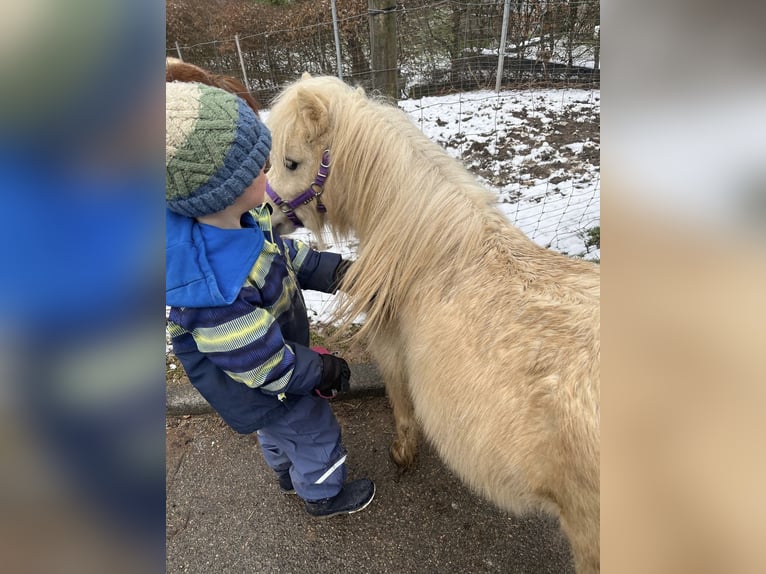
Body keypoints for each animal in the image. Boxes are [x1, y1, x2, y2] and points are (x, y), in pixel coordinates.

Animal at [268, 75, 604, 574]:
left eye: (291, 161)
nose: (264, 215)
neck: (430, 249)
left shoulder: (391, 351)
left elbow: (401, 403)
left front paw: (403, 454)